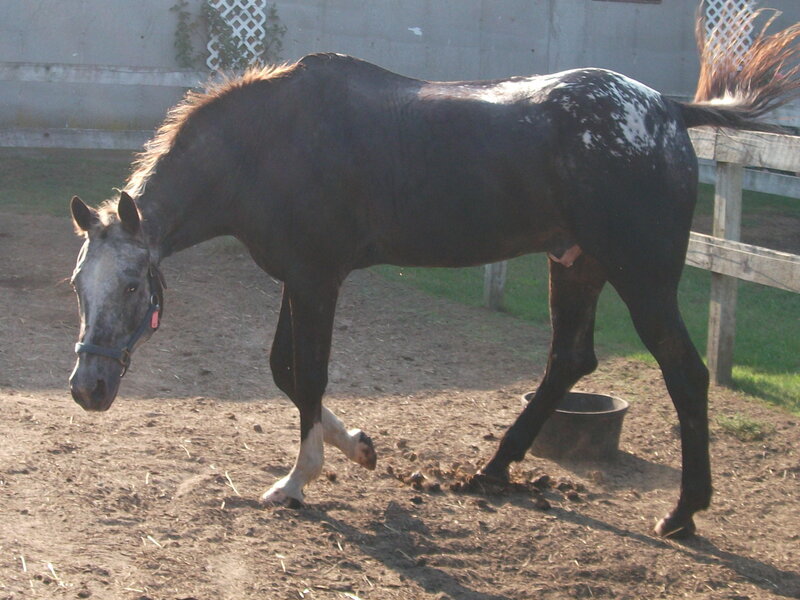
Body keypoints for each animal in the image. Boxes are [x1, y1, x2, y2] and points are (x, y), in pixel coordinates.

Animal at [68, 9, 800, 538]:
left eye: (132, 285)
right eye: (78, 286)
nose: (87, 389)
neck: (268, 145)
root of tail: (669, 111)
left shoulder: (317, 280)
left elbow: (309, 375)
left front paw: (297, 481)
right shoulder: (297, 279)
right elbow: (285, 371)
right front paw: (361, 447)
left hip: (641, 275)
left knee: (684, 373)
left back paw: (682, 514)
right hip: (576, 264)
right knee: (569, 359)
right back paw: (492, 470)